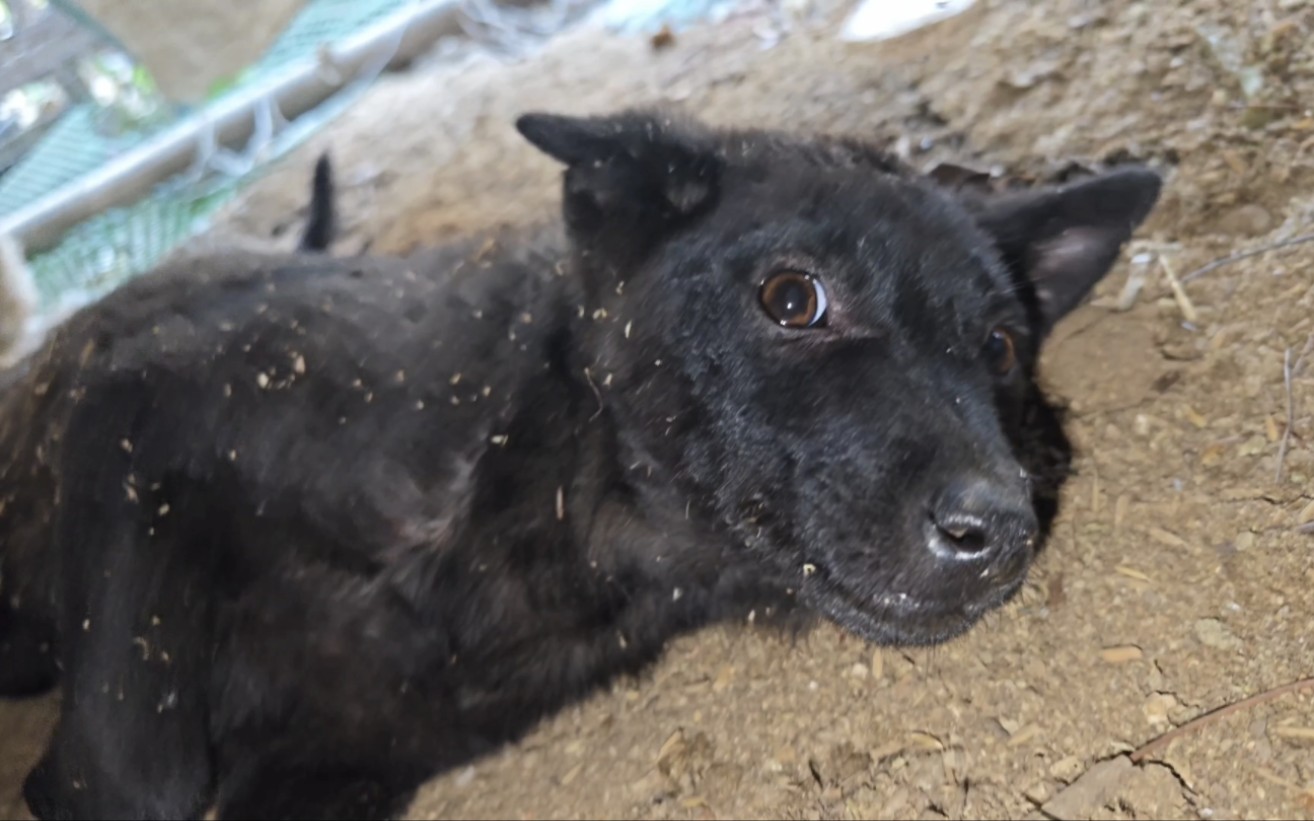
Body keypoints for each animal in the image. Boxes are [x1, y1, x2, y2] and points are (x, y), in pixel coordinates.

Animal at [0, 110, 1161, 819]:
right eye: (793, 297)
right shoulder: (139, 411)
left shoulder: (344, 762)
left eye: (1002, 346)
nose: (1001, 532)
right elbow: (136, 773)